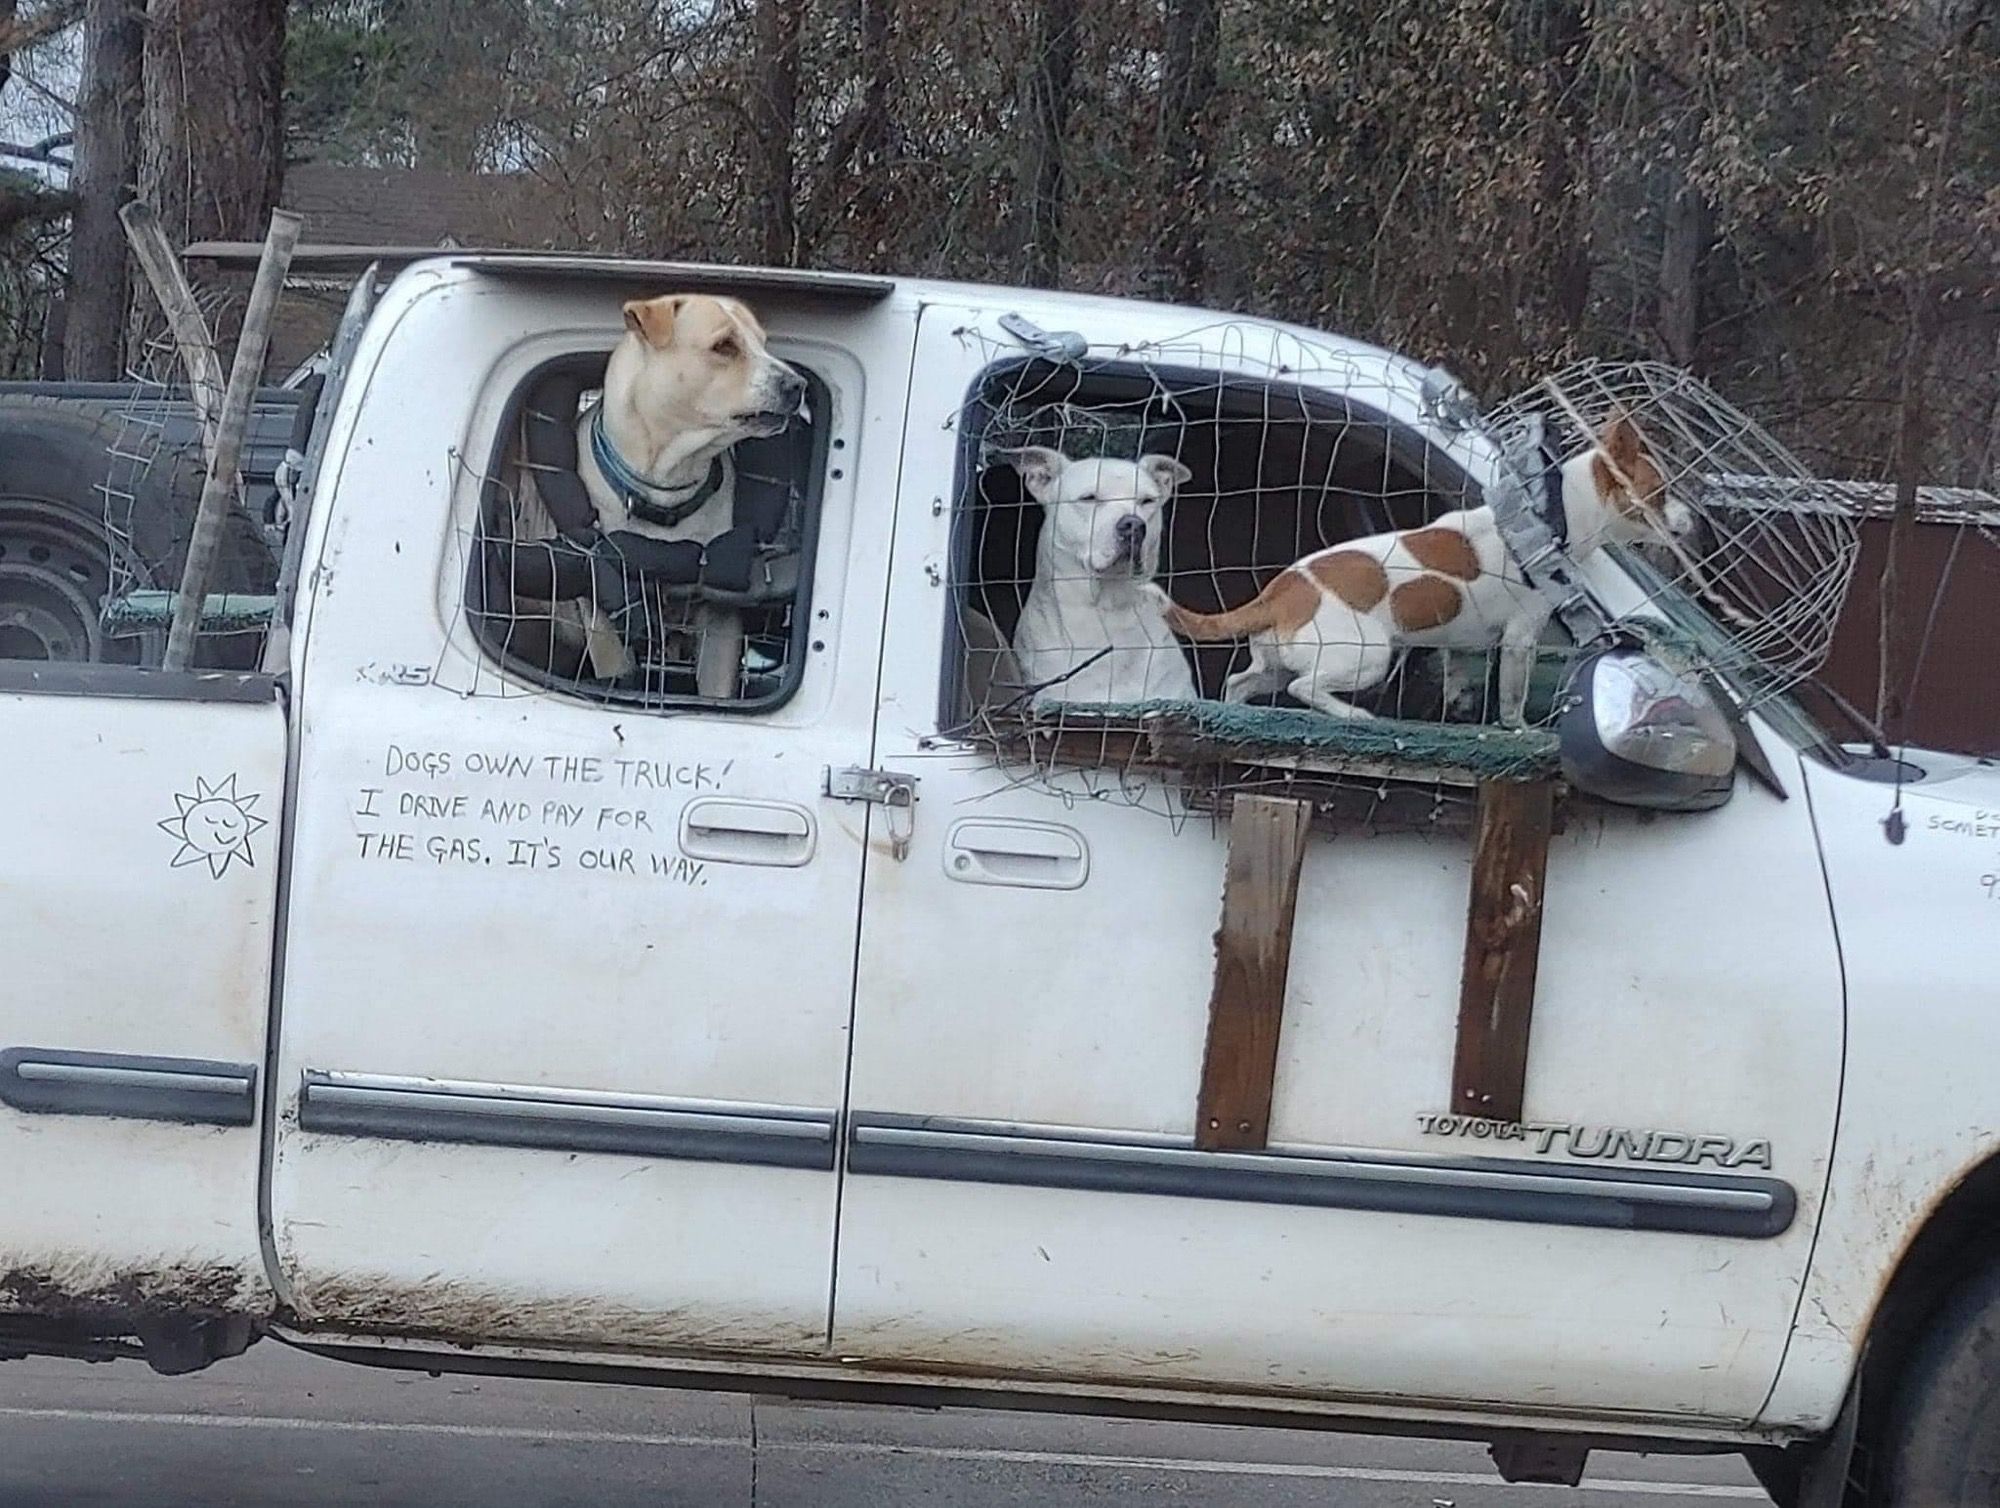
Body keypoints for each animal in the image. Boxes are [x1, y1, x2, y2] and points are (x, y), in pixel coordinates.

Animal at [572, 290, 804, 696]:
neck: (666, 481)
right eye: (725, 346)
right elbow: (613, 665)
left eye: (762, 342)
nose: (798, 384)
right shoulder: (600, 612)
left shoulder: (721, 613)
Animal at [1152, 414, 1696, 724]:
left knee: (1243, 683)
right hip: (1369, 655)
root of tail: (1281, 591)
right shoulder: (1521, 638)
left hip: (1274, 662)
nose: (1692, 520)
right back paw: (1354, 713)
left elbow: (1457, 676)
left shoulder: (1460, 645)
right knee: (1303, 688)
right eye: (1662, 491)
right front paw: (1517, 727)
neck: (1550, 512)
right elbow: (1512, 700)